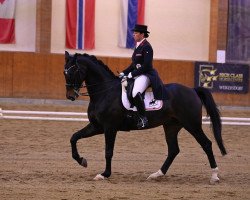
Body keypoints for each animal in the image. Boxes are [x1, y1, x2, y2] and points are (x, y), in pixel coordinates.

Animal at [64, 51, 227, 184]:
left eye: (73, 71)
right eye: (64, 72)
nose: (70, 96)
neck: (104, 92)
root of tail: (192, 90)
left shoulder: (110, 128)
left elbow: (108, 151)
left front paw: (104, 174)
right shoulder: (97, 126)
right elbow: (73, 137)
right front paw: (82, 161)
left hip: (192, 124)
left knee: (206, 144)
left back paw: (214, 176)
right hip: (171, 126)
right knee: (173, 150)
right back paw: (156, 174)